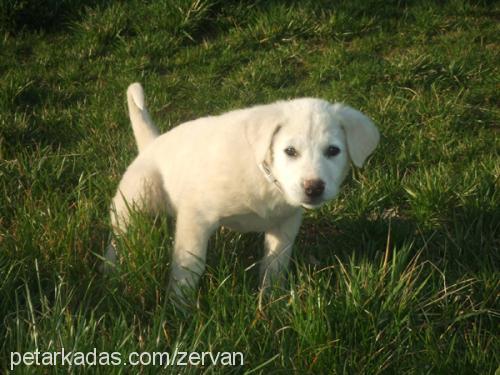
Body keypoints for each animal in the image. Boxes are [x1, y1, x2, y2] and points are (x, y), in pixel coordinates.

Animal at [105, 82, 378, 302]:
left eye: (333, 151)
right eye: (290, 151)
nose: (314, 188)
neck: (265, 178)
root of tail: (151, 144)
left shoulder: (285, 224)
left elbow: (275, 265)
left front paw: (271, 304)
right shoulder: (196, 217)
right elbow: (189, 266)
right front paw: (178, 310)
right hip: (137, 195)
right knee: (119, 235)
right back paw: (110, 269)